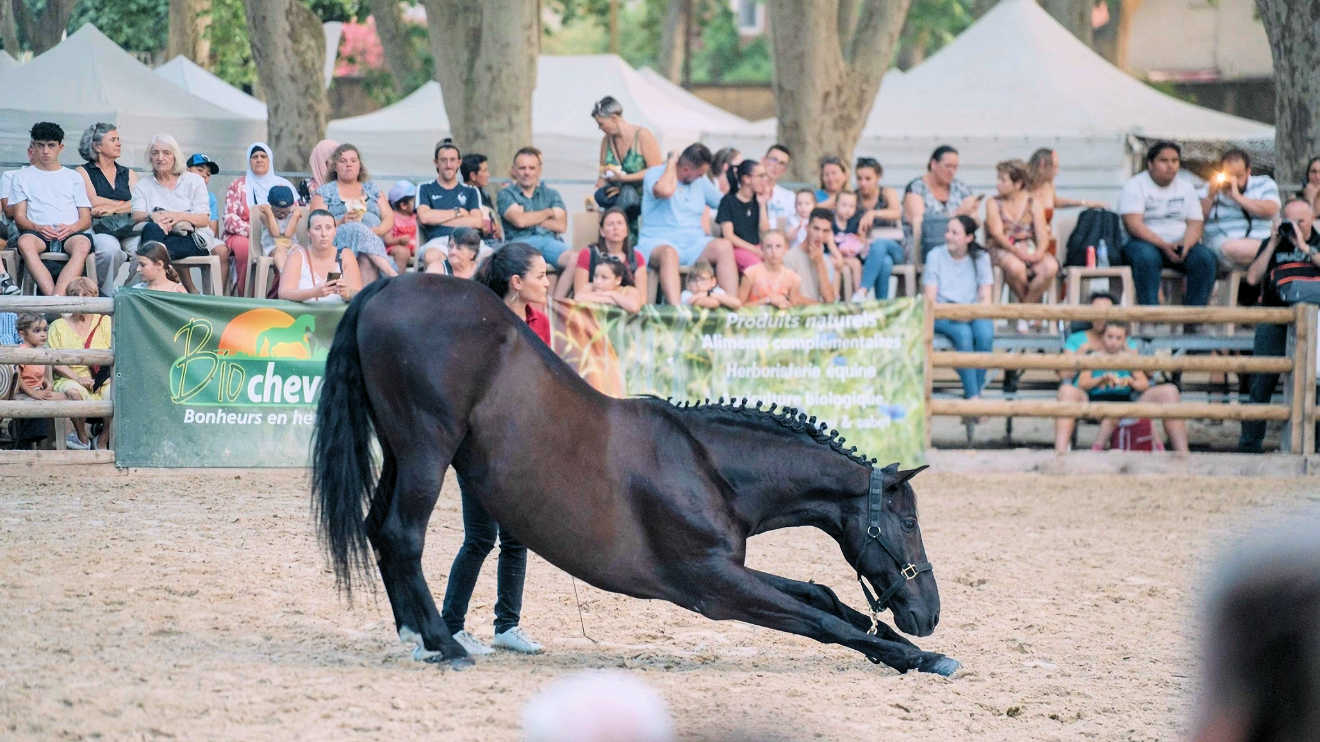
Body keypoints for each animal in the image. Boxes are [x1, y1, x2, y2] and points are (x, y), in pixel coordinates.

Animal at [312, 273, 959, 676]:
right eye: (907, 522)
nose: (928, 614)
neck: (708, 468)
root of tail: (390, 284)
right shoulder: (712, 586)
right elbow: (822, 620)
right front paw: (921, 658)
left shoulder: (729, 568)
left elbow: (822, 595)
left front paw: (903, 646)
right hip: (426, 449)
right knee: (402, 535)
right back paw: (444, 644)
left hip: (401, 451)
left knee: (380, 530)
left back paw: (414, 636)